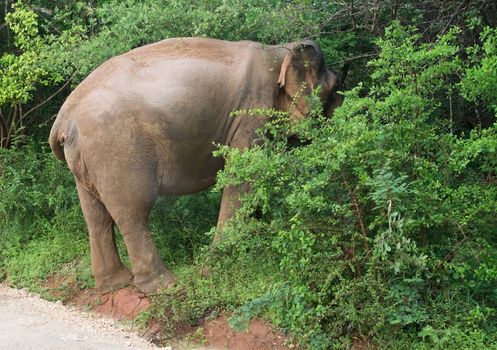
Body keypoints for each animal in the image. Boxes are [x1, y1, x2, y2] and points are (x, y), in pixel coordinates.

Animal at [50, 37, 344, 296]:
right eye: (332, 87)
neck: (279, 50)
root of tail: (63, 118)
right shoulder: (251, 114)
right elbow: (242, 178)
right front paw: (214, 268)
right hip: (117, 151)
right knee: (132, 212)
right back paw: (163, 287)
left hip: (87, 160)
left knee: (96, 217)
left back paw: (114, 285)